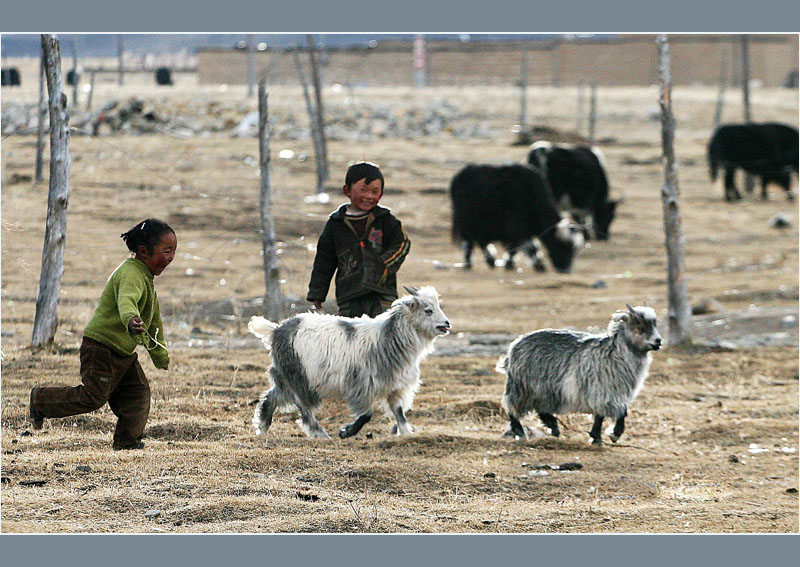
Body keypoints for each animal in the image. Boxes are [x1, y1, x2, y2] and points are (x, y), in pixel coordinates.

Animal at [250, 286, 450, 442]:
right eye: (428, 310)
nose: (447, 324)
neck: (388, 337)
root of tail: (276, 330)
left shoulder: (394, 384)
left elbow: (398, 410)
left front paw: (406, 432)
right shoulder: (360, 384)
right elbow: (366, 414)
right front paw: (346, 432)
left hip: (286, 376)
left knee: (271, 397)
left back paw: (263, 428)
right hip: (299, 376)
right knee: (304, 408)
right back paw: (320, 433)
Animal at [500, 306, 664, 444]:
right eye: (640, 326)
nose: (658, 341)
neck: (614, 352)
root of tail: (514, 346)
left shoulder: (608, 393)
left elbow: (605, 414)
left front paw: (596, 437)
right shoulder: (604, 391)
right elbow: (619, 412)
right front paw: (613, 434)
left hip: (544, 389)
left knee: (541, 409)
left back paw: (553, 428)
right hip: (523, 387)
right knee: (513, 408)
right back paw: (521, 432)